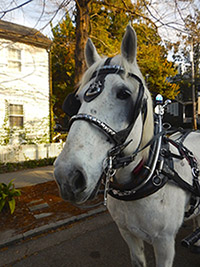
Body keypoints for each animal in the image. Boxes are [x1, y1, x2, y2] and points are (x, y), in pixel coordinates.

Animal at [53, 24, 200, 266]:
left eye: (124, 94)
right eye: (79, 98)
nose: (68, 177)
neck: (147, 174)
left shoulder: (164, 243)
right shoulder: (128, 233)